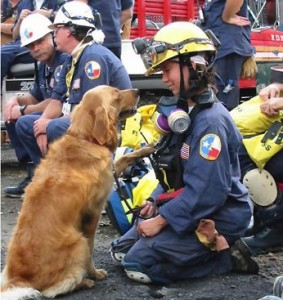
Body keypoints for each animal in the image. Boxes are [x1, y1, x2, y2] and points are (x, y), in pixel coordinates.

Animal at [0, 85, 140, 298]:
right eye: (116, 94)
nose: (138, 91)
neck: (86, 139)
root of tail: (19, 279)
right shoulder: (92, 214)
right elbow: (91, 248)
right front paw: (95, 273)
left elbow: (125, 157)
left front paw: (148, 149)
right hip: (78, 241)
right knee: (55, 288)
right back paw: (84, 281)